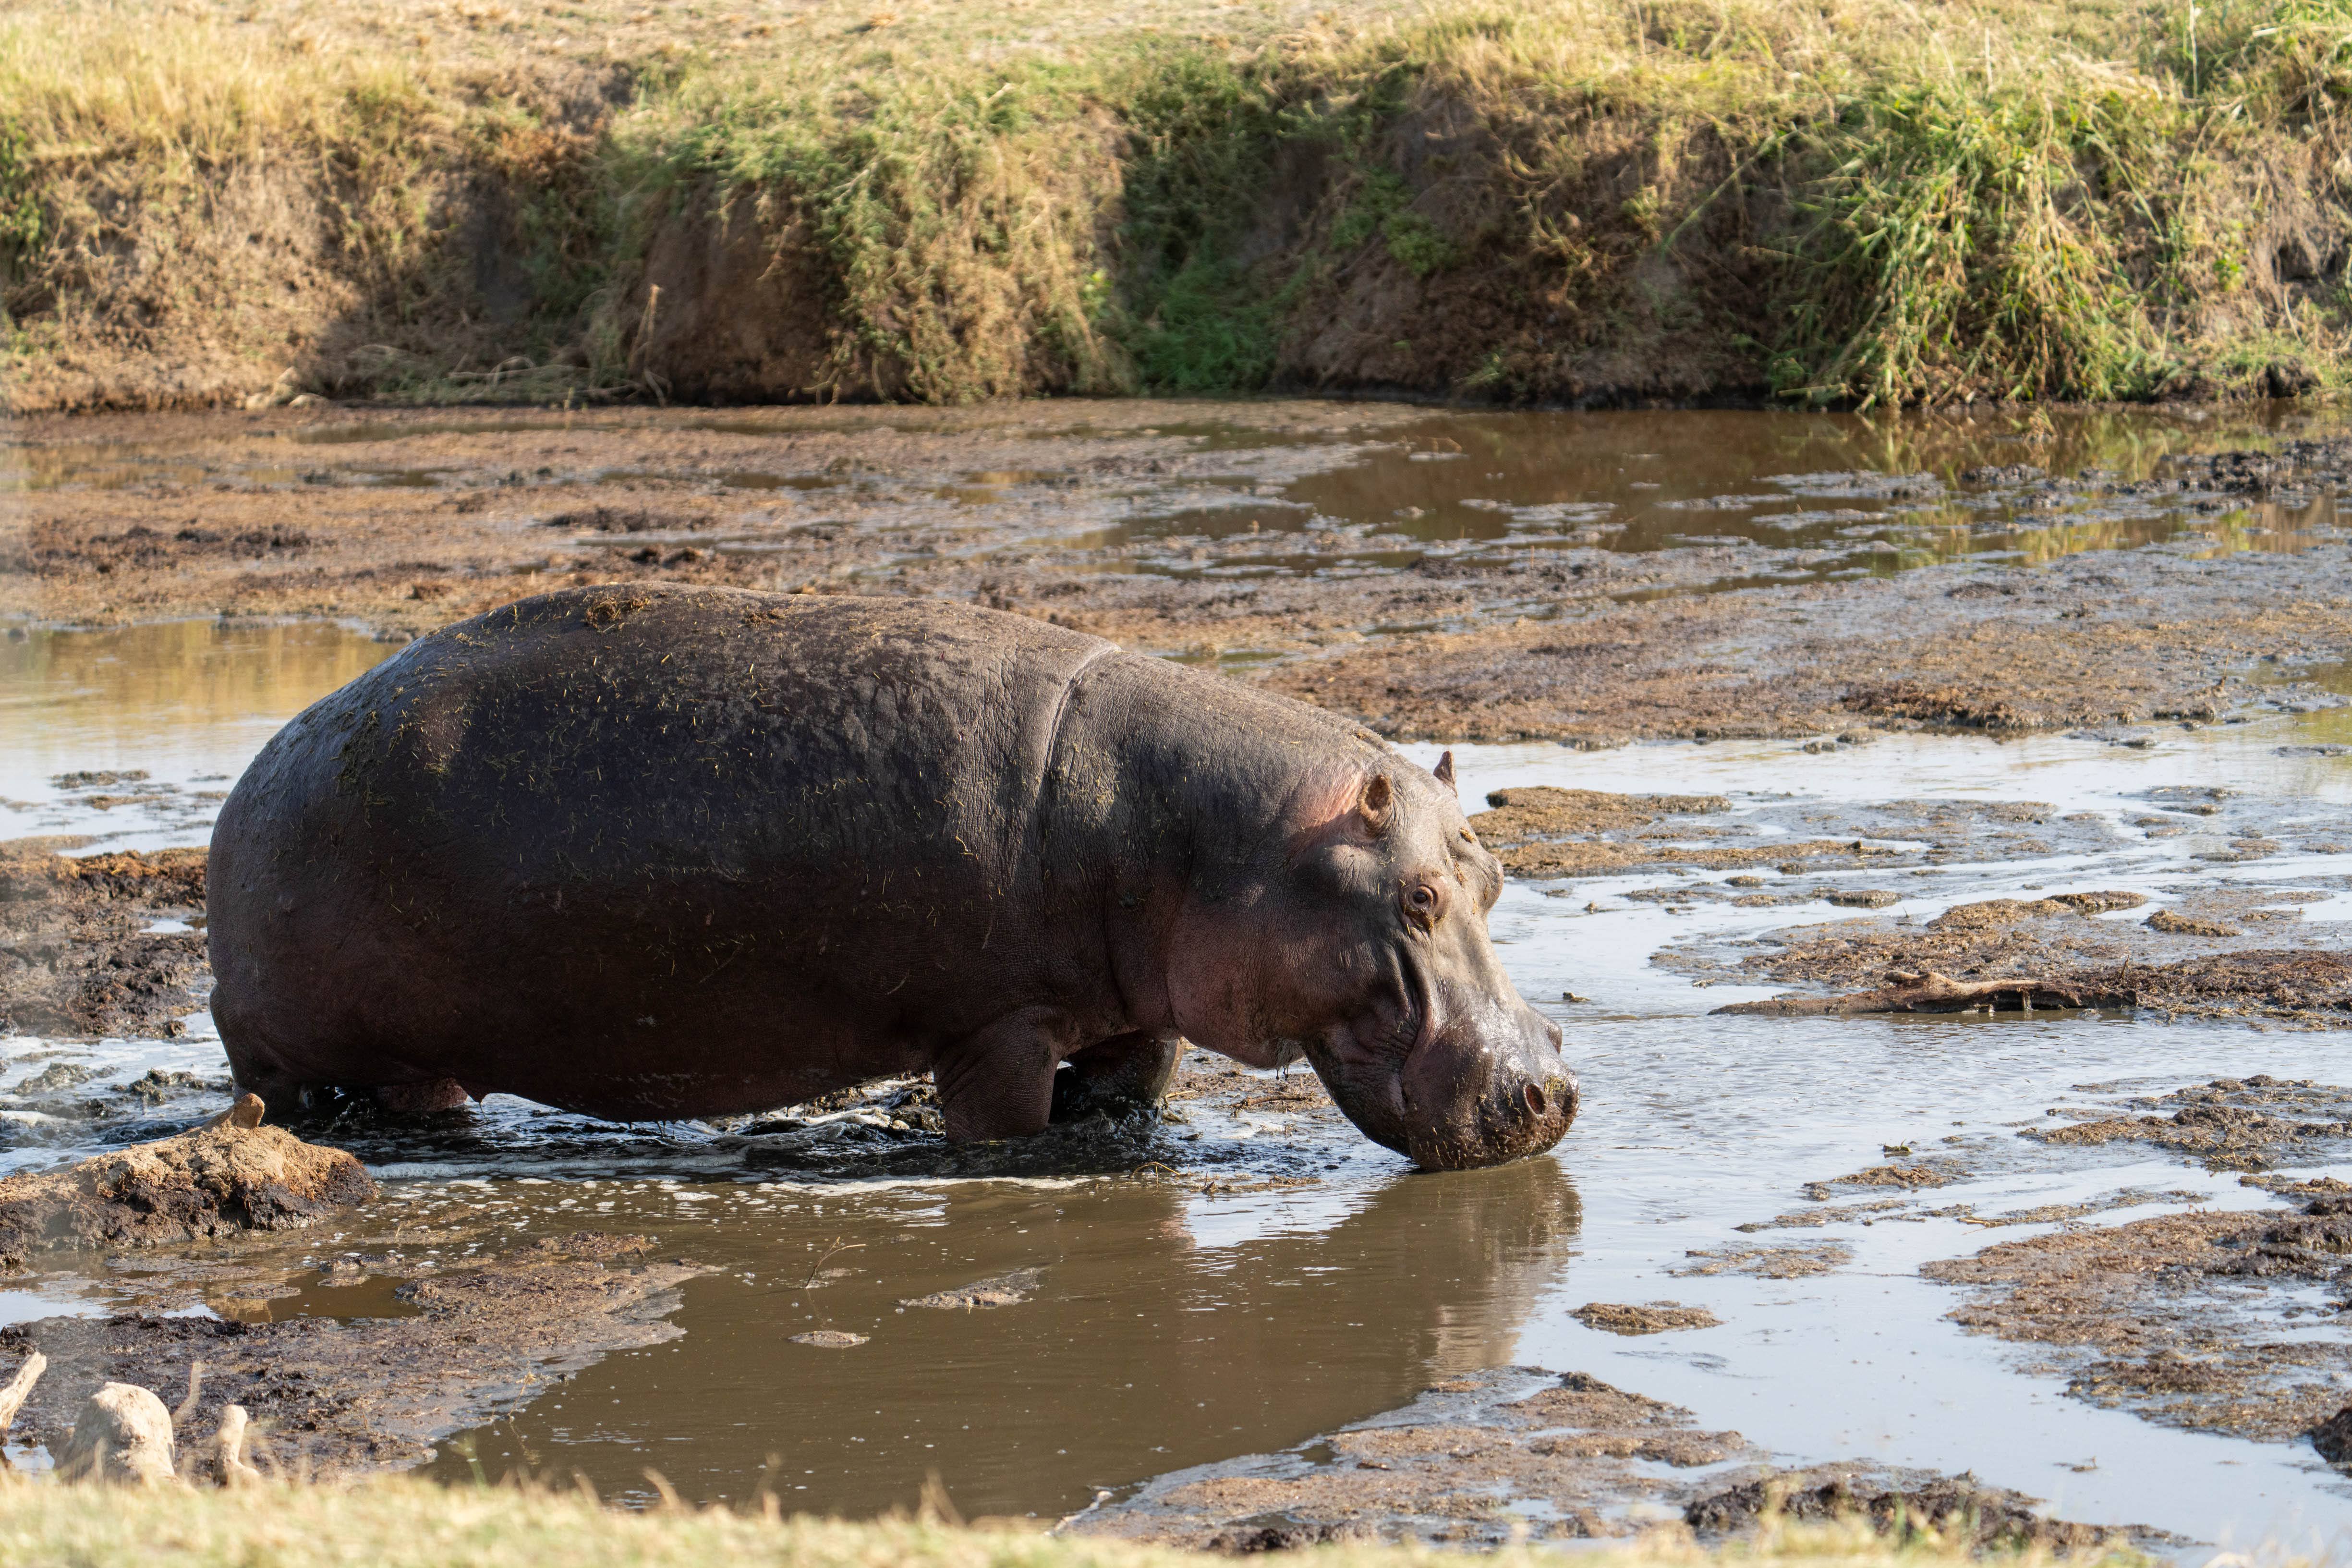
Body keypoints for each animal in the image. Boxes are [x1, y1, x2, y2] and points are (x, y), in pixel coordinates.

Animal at [207, 585, 1576, 1169]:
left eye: (1495, 877)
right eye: (1414, 899)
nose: (1549, 1094)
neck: (1220, 834)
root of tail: (258, 768)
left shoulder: (1135, 1015)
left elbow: (1132, 1086)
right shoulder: (997, 1026)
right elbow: (1006, 1121)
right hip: (290, 1039)